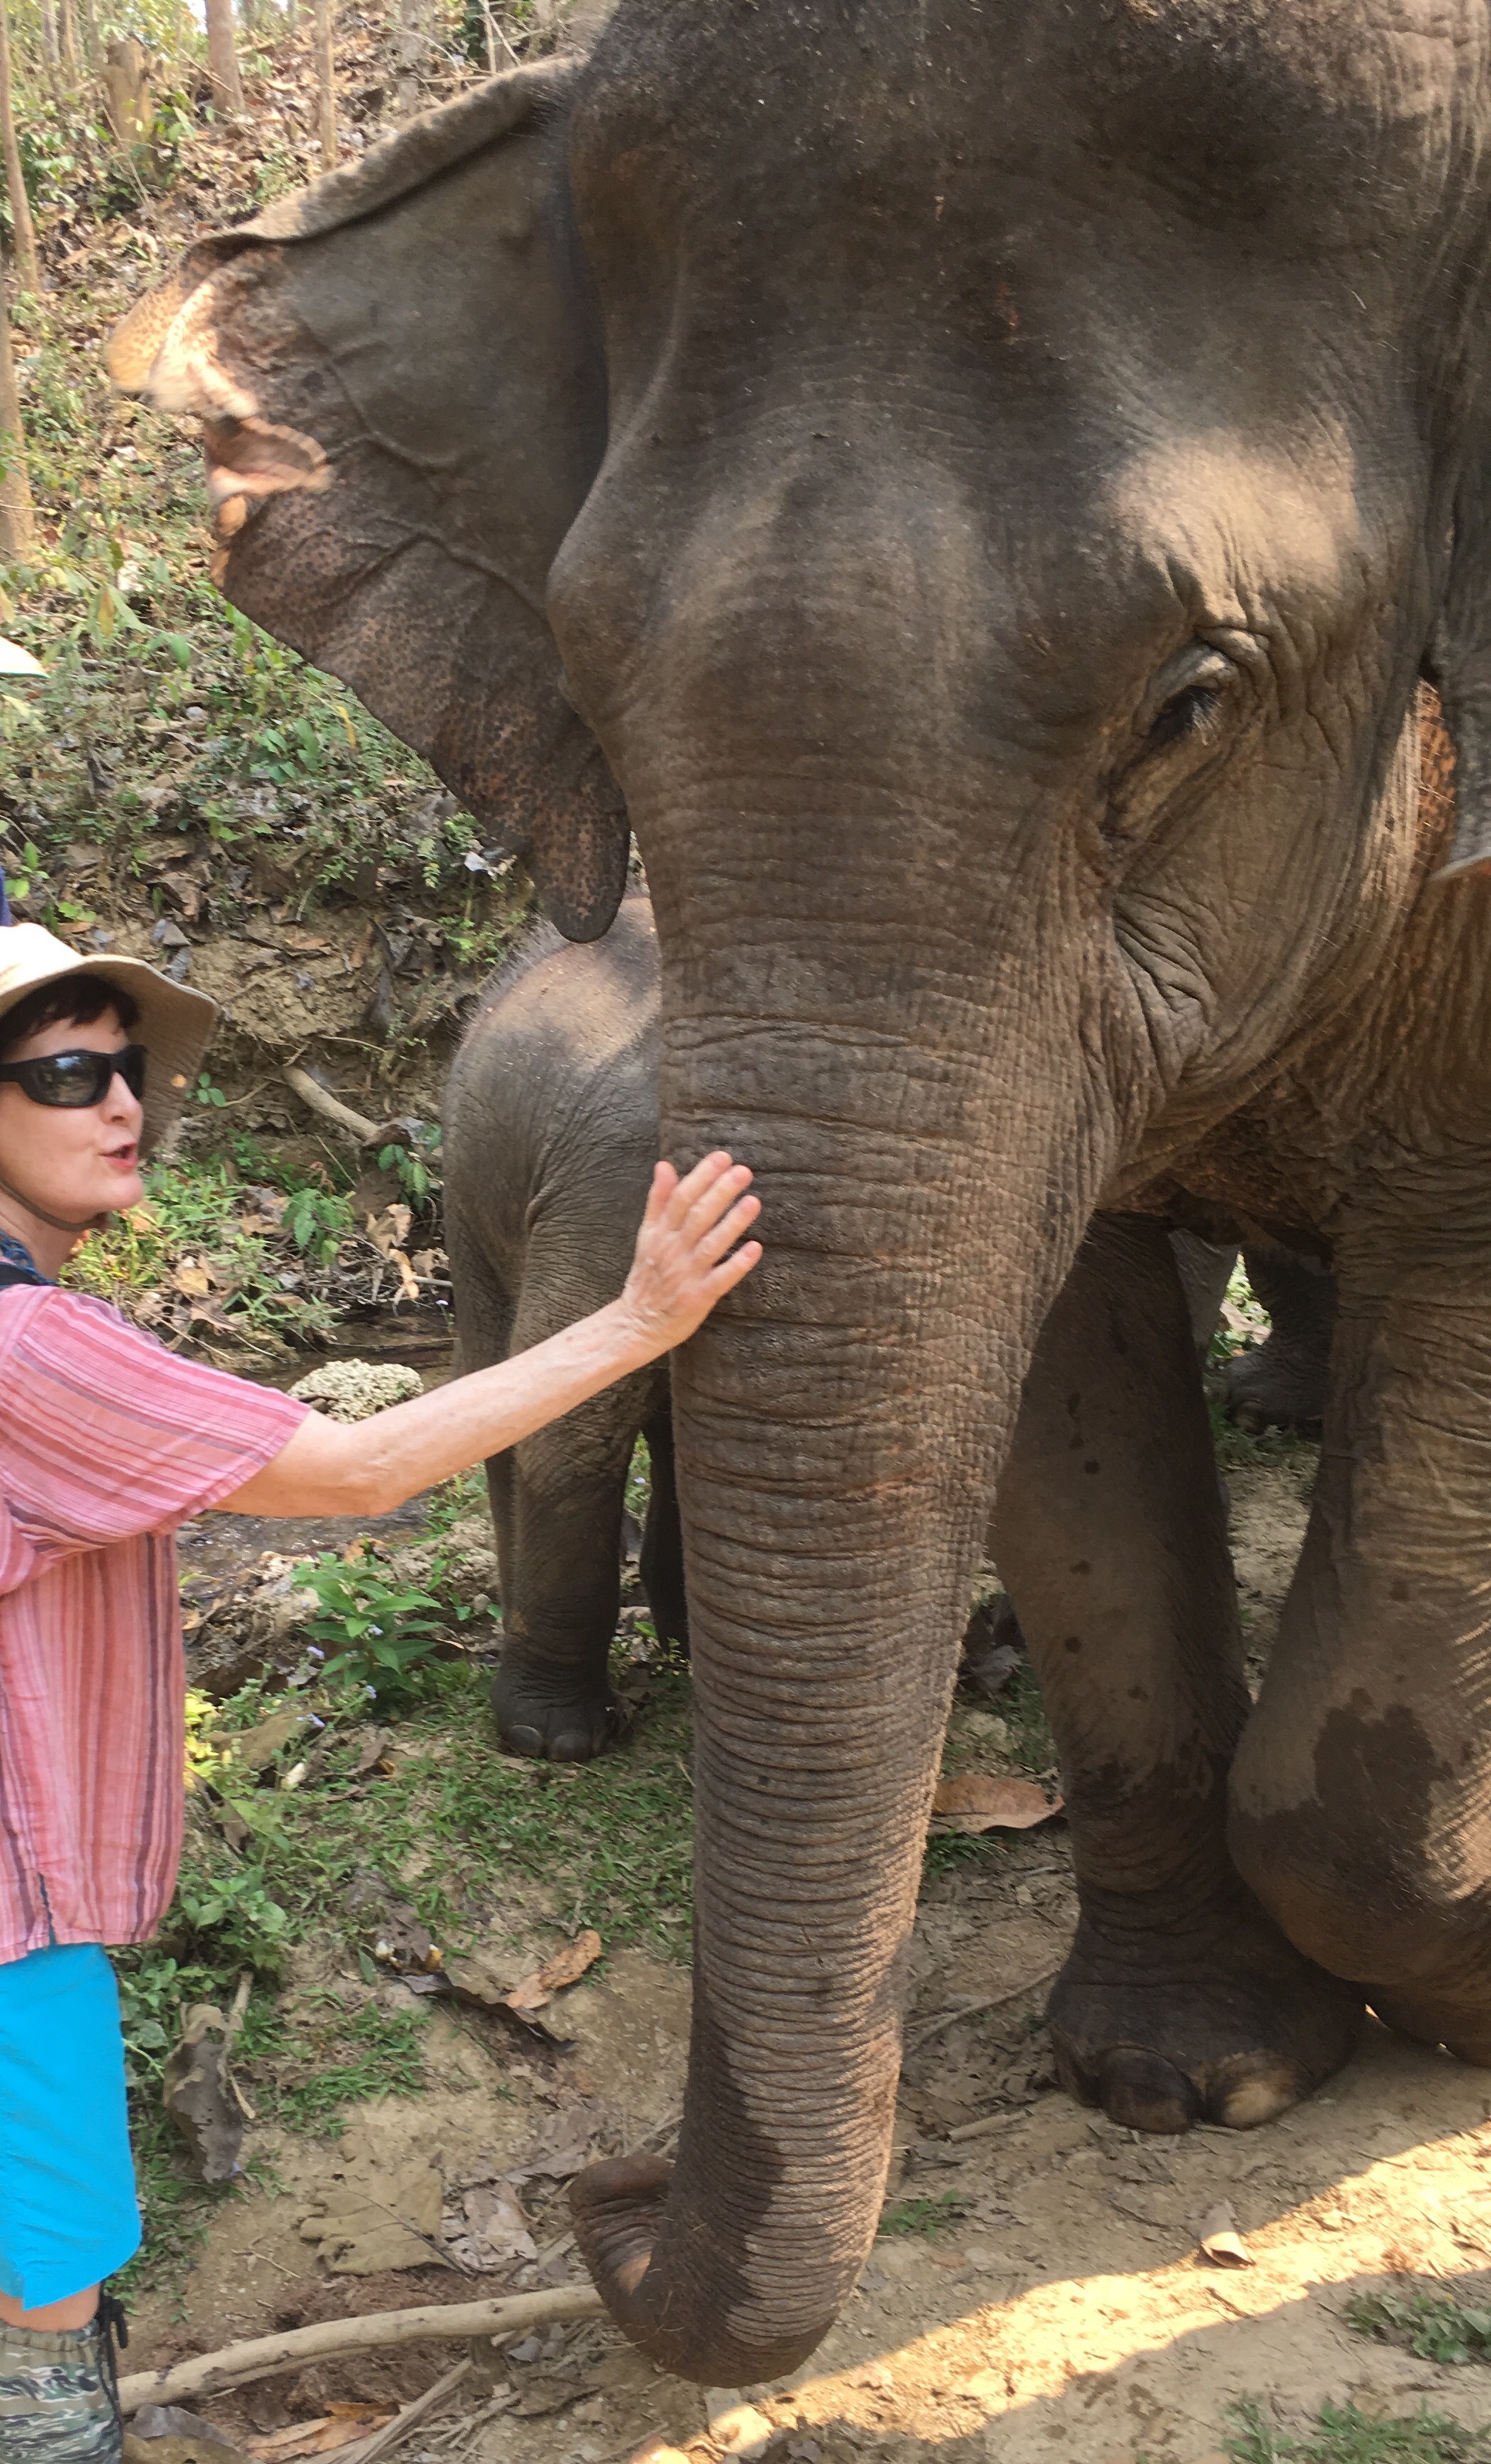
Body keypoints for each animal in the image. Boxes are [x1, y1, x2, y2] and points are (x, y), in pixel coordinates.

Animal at [111, 0, 1491, 2390]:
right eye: (589, 681)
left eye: (1190, 702)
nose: (591, 2199)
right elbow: (1063, 1381)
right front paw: (1190, 2076)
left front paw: (1449, 1997)